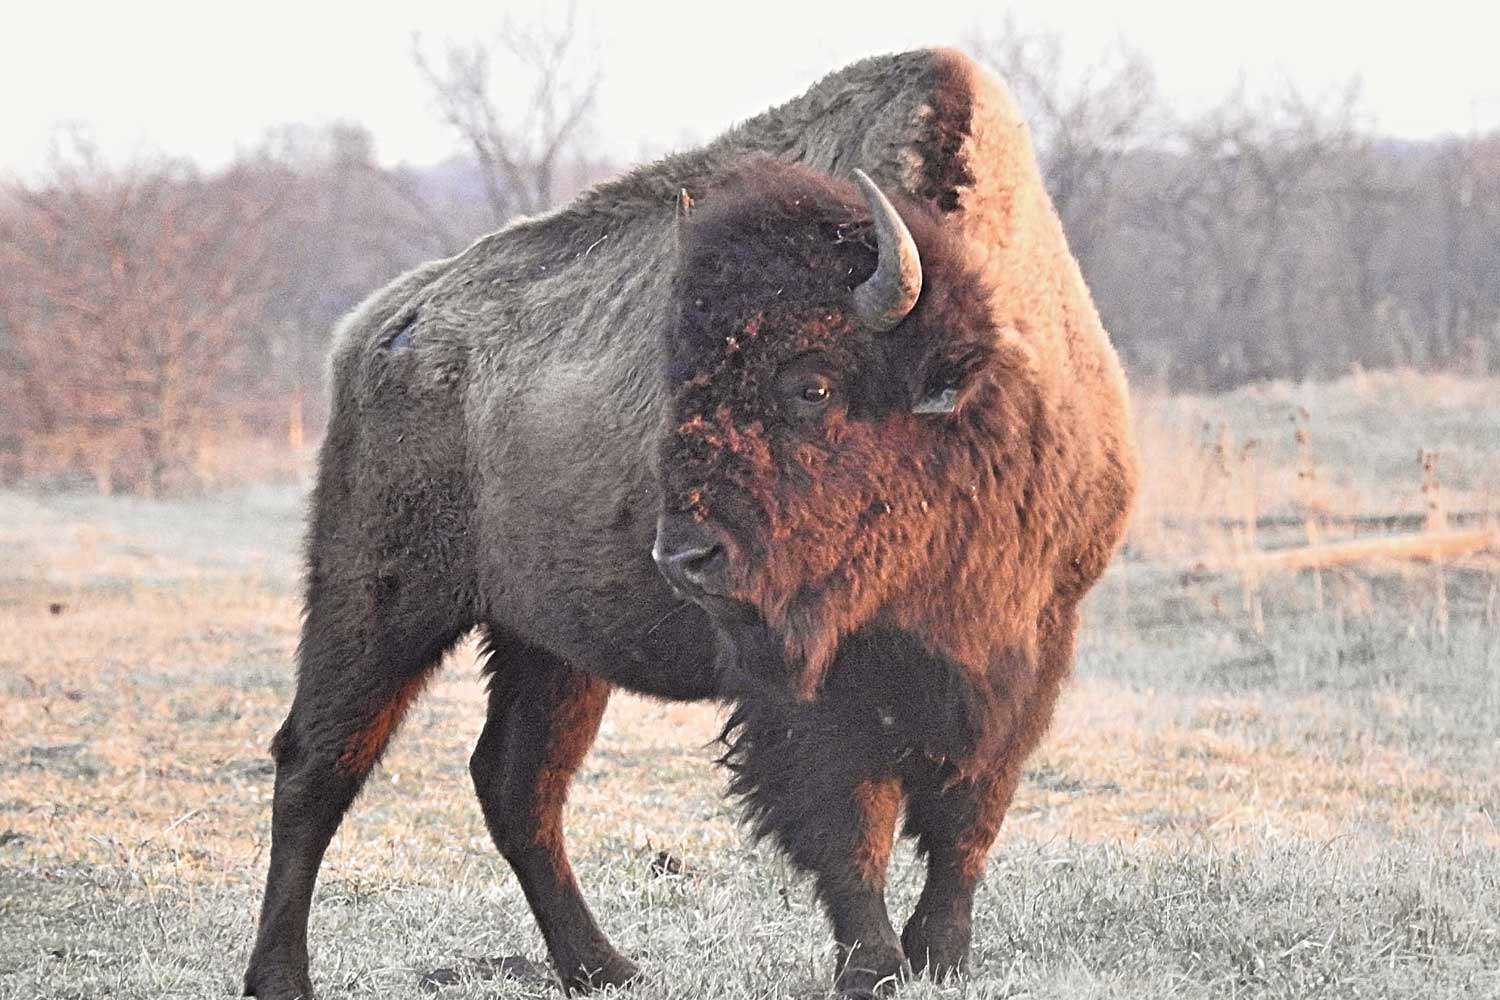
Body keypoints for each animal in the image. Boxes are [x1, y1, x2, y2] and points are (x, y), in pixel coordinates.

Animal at [246, 48, 1134, 1000]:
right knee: (318, 762)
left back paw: (604, 967)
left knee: (516, 784)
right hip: (378, 600)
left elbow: (969, 816)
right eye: (679, 381)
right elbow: (852, 824)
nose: (685, 557)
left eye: (812, 384)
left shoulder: (1028, 648)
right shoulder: (805, 684)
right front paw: (875, 967)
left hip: (548, 645)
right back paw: (281, 976)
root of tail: (377, 328)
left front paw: (942, 955)